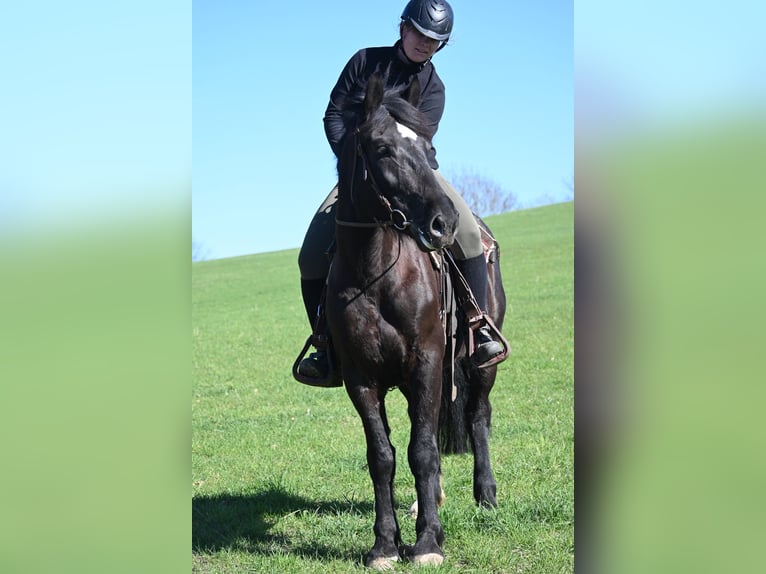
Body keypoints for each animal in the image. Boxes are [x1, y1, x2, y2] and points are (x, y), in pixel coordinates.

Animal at [325, 72, 505, 569]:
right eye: (383, 149)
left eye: (429, 149)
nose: (443, 222)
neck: (375, 273)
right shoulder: (361, 378)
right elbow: (382, 456)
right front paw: (386, 544)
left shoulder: (425, 365)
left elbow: (422, 451)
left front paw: (427, 543)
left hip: (480, 366)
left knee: (478, 415)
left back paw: (486, 495)